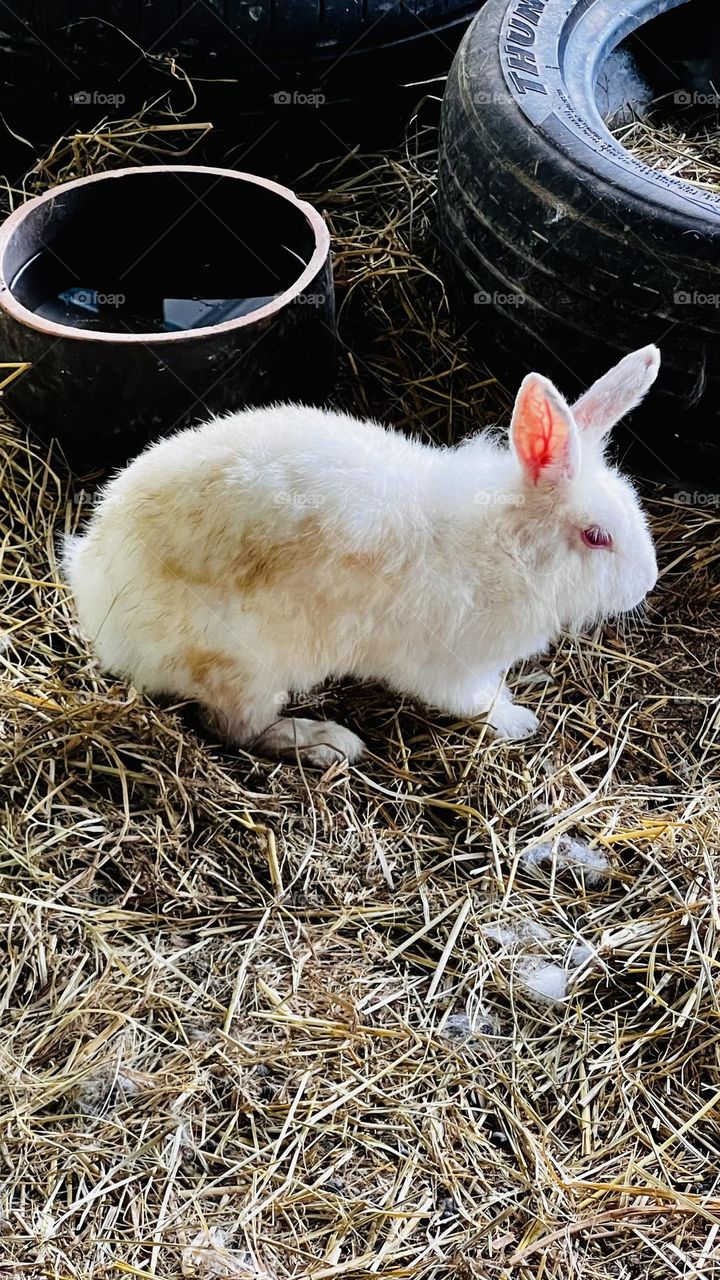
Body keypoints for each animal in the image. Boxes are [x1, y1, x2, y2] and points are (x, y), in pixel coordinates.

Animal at [63, 344, 660, 768]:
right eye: (597, 537)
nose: (648, 583)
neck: (508, 546)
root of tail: (94, 589)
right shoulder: (454, 667)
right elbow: (477, 702)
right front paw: (518, 721)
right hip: (245, 667)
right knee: (236, 729)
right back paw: (328, 742)